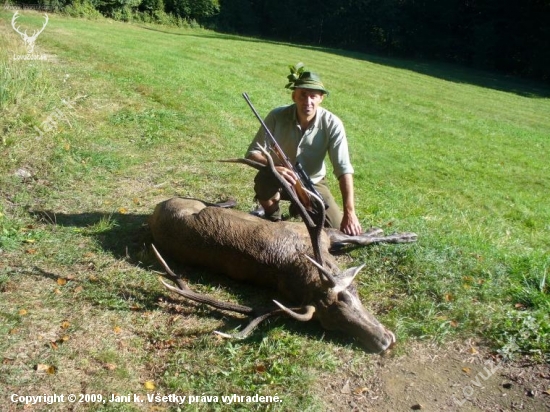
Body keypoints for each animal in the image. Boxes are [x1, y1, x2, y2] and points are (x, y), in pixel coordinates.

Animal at [149, 149, 416, 354]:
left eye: (349, 295)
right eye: (330, 324)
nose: (385, 342)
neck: (295, 262)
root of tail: (157, 208)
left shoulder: (317, 234)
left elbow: (358, 238)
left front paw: (395, 233)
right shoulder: (319, 234)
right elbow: (360, 239)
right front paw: (402, 234)